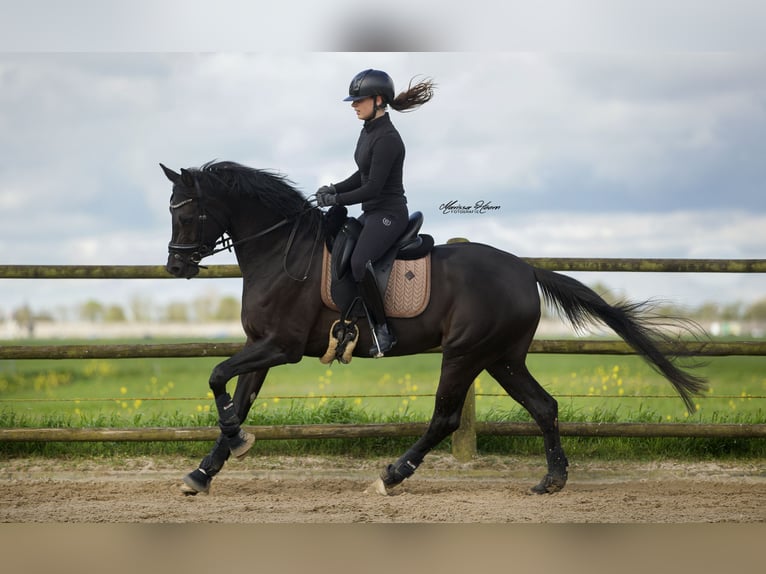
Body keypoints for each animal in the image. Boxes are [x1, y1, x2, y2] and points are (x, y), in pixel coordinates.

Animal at [161, 160, 707, 496]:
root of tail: (525, 270)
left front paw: (234, 444)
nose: (175, 267)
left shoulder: (281, 346)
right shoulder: (262, 345)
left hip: (464, 354)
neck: (282, 252)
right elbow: (236, 398)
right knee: (544, 406)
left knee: (445, 417)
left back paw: (392, 475)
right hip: (502, 358)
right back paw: (551, 480)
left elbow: (216, 377)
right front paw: (205, 470)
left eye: (187, 213)